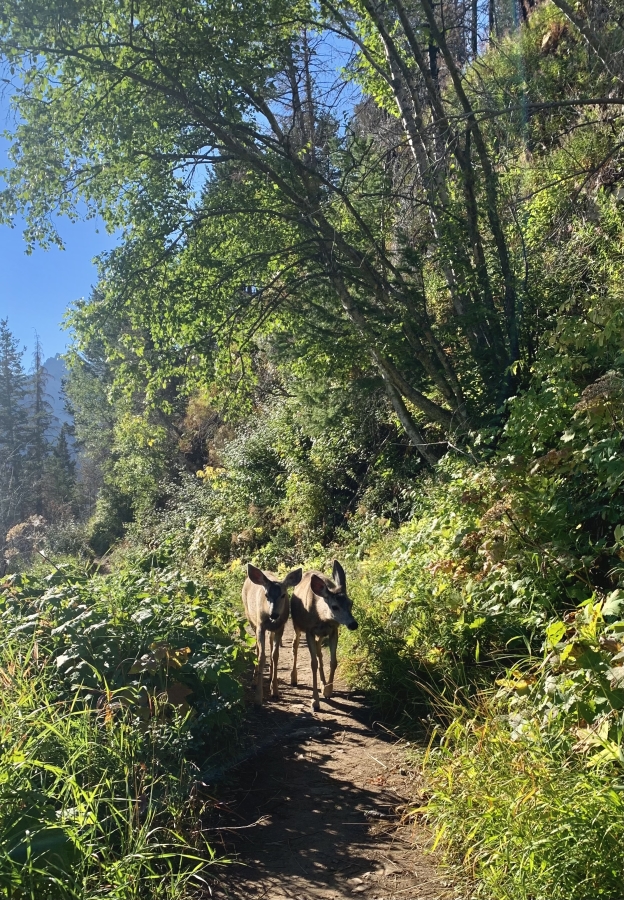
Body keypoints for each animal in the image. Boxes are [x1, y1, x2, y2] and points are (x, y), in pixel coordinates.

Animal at [243, 568, 304, 708]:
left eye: (283, 595)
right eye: (266, 595)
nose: (274, 614)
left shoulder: (280, 627)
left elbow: (275, 655)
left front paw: (275, 691)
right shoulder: (260, 626)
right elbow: (261, 657)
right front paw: (258, 698)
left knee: (270, 644)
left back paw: (270, 676)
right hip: (250, 618)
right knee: (257, 648)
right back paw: (254, 680)